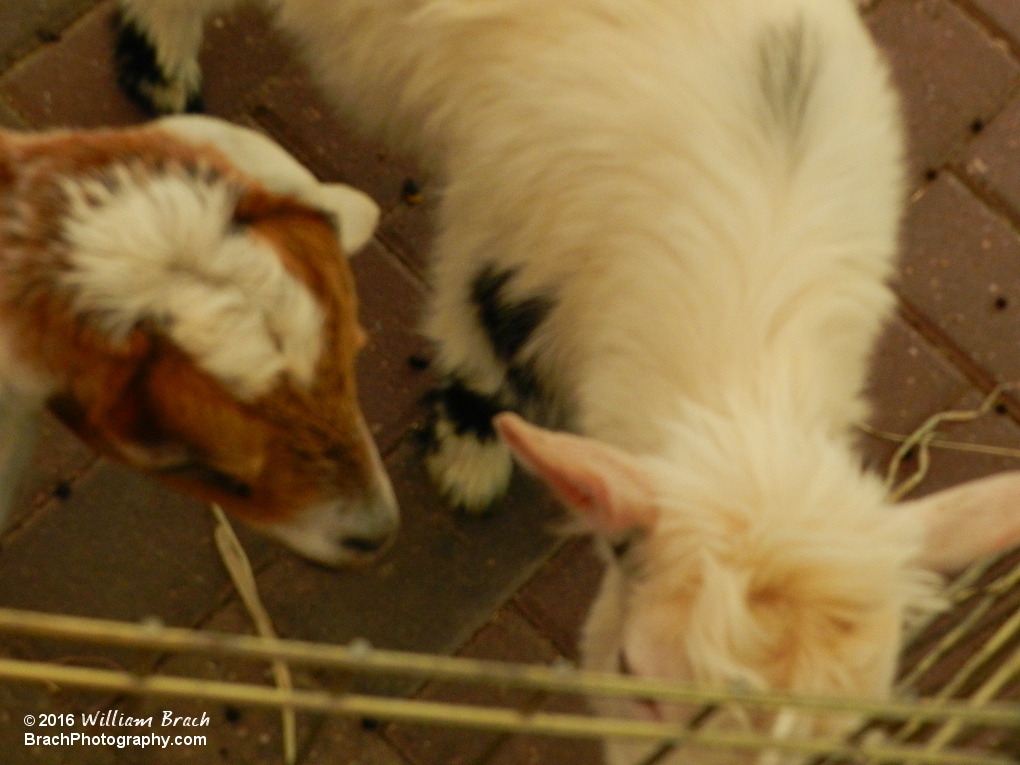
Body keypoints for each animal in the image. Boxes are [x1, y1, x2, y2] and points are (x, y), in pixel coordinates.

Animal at [115, 0, 1020, 762]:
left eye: (837, 734)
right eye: (631, 666)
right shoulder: (505, 249)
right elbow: (482, 354)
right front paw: (469, 461)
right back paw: (157, 73)